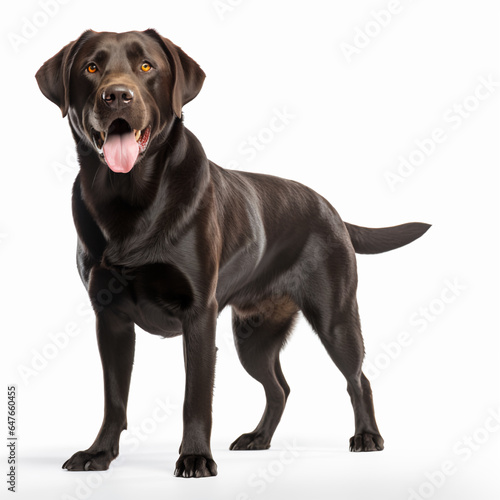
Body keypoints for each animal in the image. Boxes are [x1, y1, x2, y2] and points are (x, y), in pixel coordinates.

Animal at [35, 29, 430, 478]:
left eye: (146, 66)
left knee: (357, 379)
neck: (130, 198)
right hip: (253, 338)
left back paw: (367, 437)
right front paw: (99, 454)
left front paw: (194, 457)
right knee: (280, 387)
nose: (117, 95)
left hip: (336, 320)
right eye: (91, 67)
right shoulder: (111, 320)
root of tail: (331, 209)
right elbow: (114, 398)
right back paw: (259, 438)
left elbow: (195, 398)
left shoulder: (199, 316)